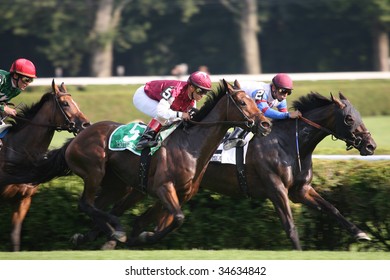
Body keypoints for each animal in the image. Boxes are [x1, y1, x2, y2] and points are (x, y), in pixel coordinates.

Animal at [75, 91, 374, 249]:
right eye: (349, 119)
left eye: (360, 116)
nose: (370, 145)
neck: (289, 141)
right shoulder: (275, 187)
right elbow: (289, 223)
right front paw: (299, 250)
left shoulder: (301, 190)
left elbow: (332, 208)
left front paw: (360, 233)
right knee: (115, 208)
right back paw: (108, 236)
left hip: (142, 186)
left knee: (124, 212)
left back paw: (106, 237)